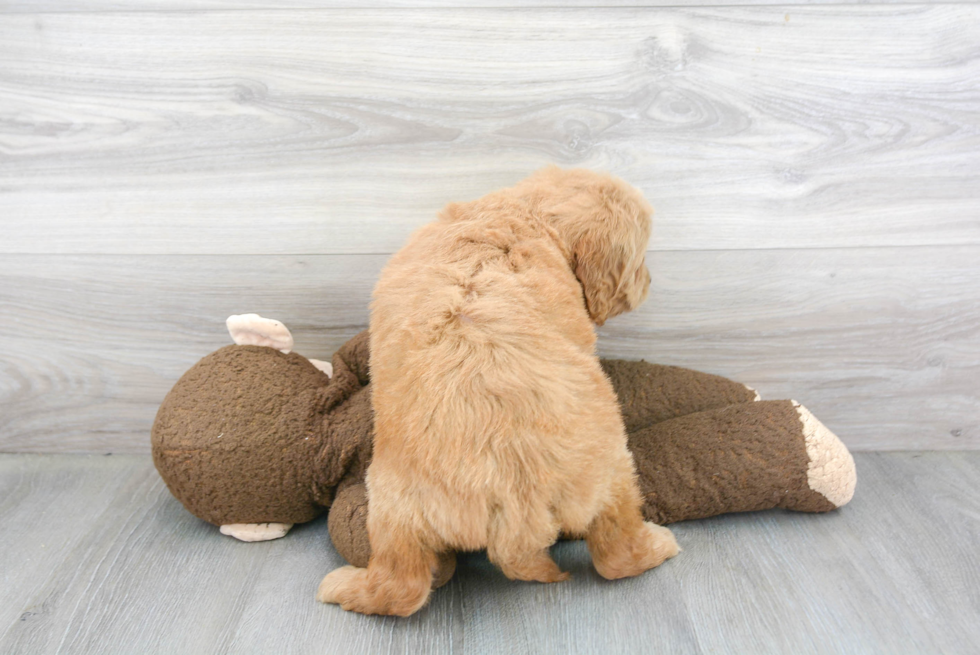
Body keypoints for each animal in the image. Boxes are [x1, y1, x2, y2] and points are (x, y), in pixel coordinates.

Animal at [318, 167, 676, 616]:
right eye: (638, 257)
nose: (650, 281)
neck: (525, 213)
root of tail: (515, 503)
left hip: (390, 508)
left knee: (400, 588)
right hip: (613, 472)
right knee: (617, 554)